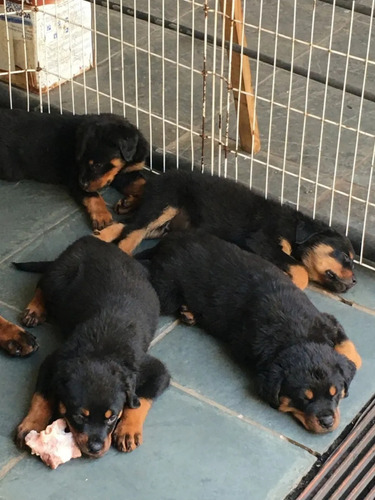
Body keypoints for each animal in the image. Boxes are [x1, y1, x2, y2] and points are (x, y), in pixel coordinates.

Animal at [0, 109, 150, 230]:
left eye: (97, 165)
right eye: (79, 161)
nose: (83, 184)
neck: (125, 162)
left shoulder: (126, 174)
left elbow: (144, 185)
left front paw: (128, 203)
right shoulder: (73, 177)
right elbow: (93, 195)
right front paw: (102, 216)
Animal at [13, 236, 170, 458]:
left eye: (112, 417)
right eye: (80, 416)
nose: (95, 448)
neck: (100, 351)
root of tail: (91, 239)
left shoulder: (157, 370)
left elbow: (141, 400)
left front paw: (128, 430)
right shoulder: (52, 362)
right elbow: (41, 396)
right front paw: (32, 424)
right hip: (60, 275)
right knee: (42, 283)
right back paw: (35, 309)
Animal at [96, 169, 356, 292]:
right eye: (345, 257)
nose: (354, 282)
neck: (295, 230)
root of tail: (156, 179)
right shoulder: (263, 240)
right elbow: (300, 270)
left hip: (163, 226)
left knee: (130, 225)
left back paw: (104, 233)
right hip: (165, 204)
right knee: (132, 233)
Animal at [137, 232, 362, 432]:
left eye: (334, 393)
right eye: (303, 399)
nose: (327, 422)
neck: (297, 334)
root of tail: (167, 243)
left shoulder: (325, 320)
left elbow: (347, 347)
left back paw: (189, 312)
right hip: (166, 290)